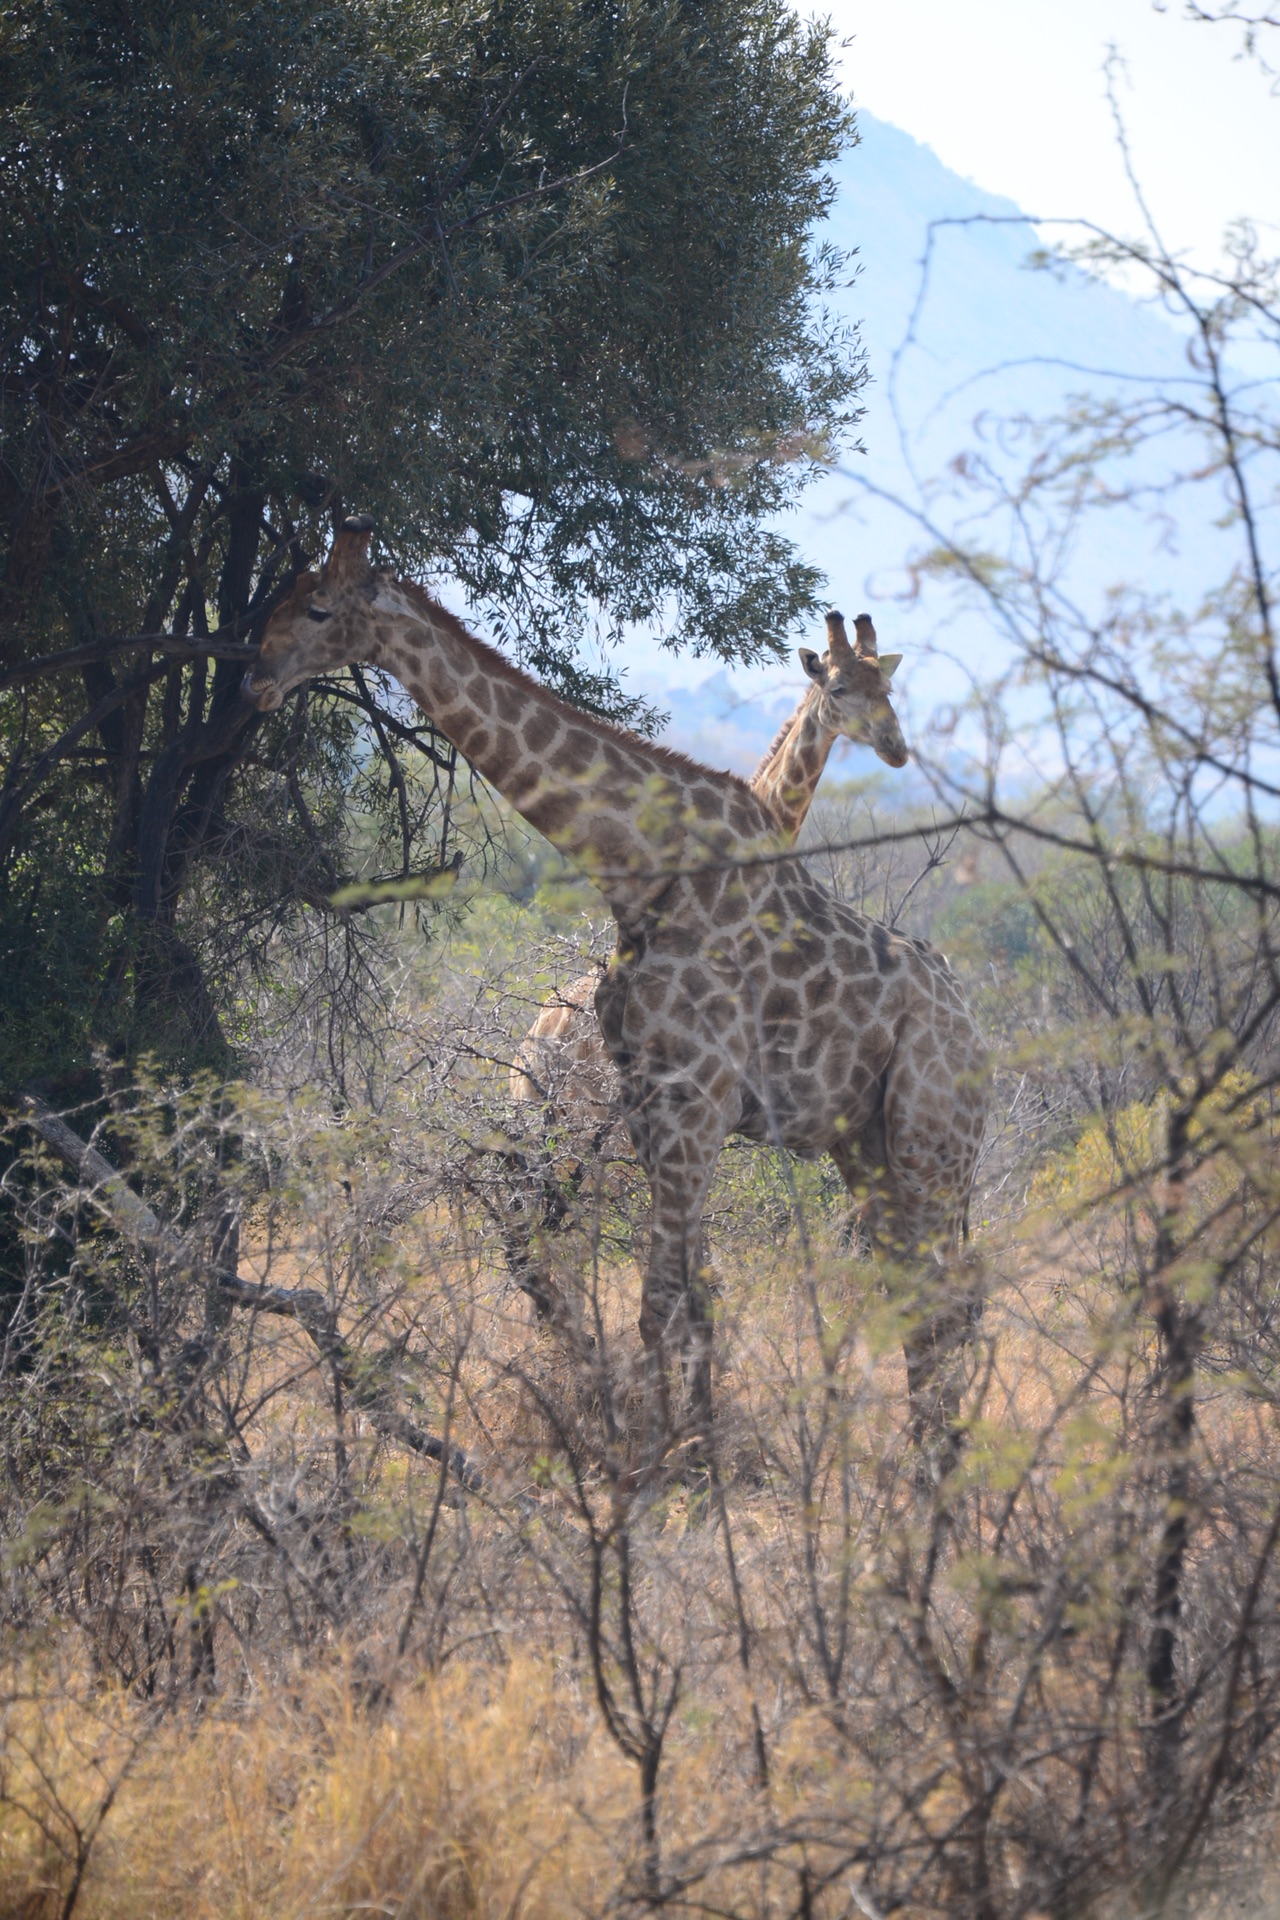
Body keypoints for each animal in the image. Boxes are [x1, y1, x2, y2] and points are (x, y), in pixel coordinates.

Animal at [245, 518, 990, 1443]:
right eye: (284, 599)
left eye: (317, 609)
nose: (255, 678)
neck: (639, 870)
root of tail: (979, 1030)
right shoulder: (653, 1109)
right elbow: (683, 1299)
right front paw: (683, 1448)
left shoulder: (694, 1107)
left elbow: (666, 1301)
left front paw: (673, 1463)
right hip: (865, 1146)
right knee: (923, 1300)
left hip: (931, 1138)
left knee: (948, 1299)